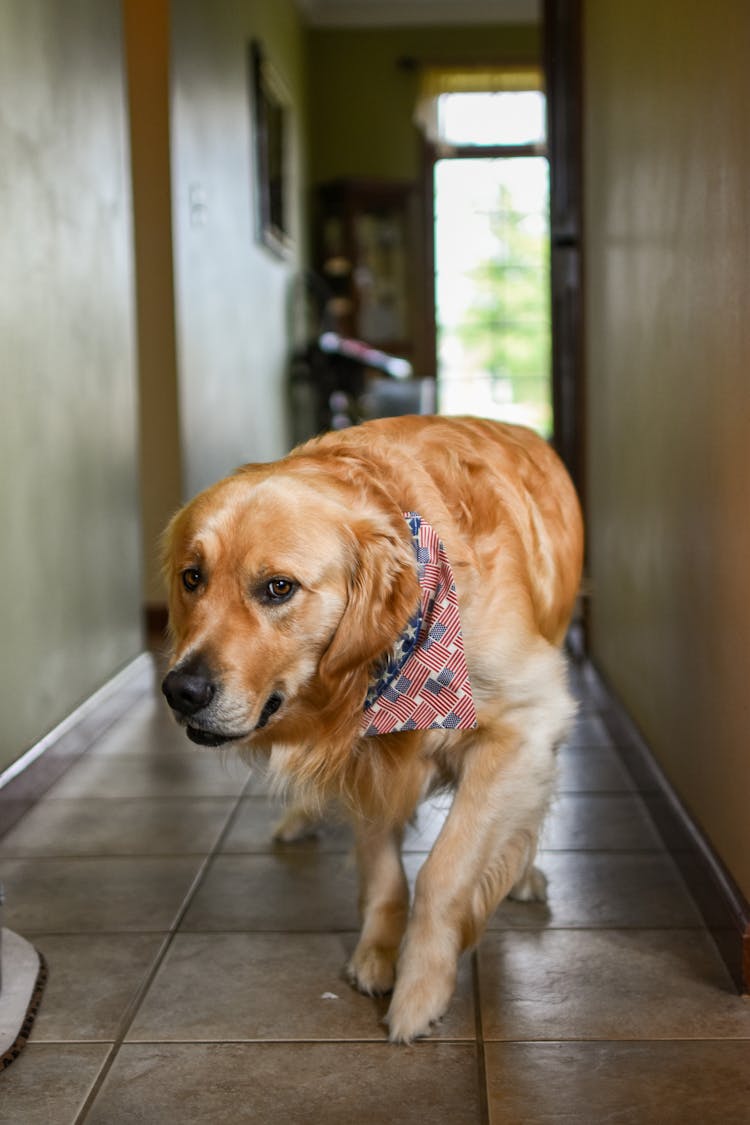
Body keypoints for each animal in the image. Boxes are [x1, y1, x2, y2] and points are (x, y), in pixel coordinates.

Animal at [163, 416, 584, 1044]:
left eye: (278, 588)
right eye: (193, 578)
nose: (180, 691)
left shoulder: (525, 723)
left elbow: (443, 872)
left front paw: (420, 988)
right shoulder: (363, 751)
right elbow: (382, 867)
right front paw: (378, 952)